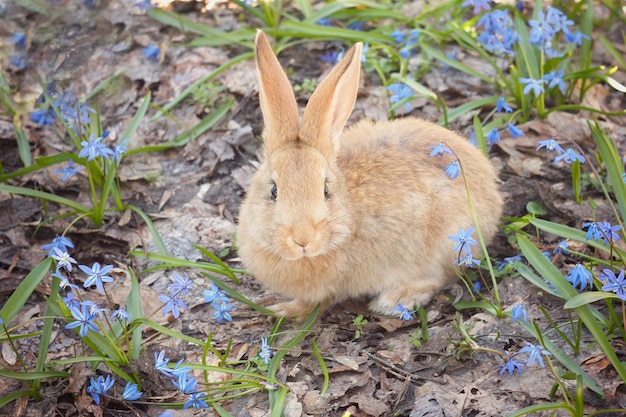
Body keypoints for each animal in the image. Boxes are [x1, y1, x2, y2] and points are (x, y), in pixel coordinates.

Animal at [235, 31, 502, 318]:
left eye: (326, 190)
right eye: (274, 190)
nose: (303, 239)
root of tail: (492, 190)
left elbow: (315, 303)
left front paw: (284, 311)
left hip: (447, 244)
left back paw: (395, 300)